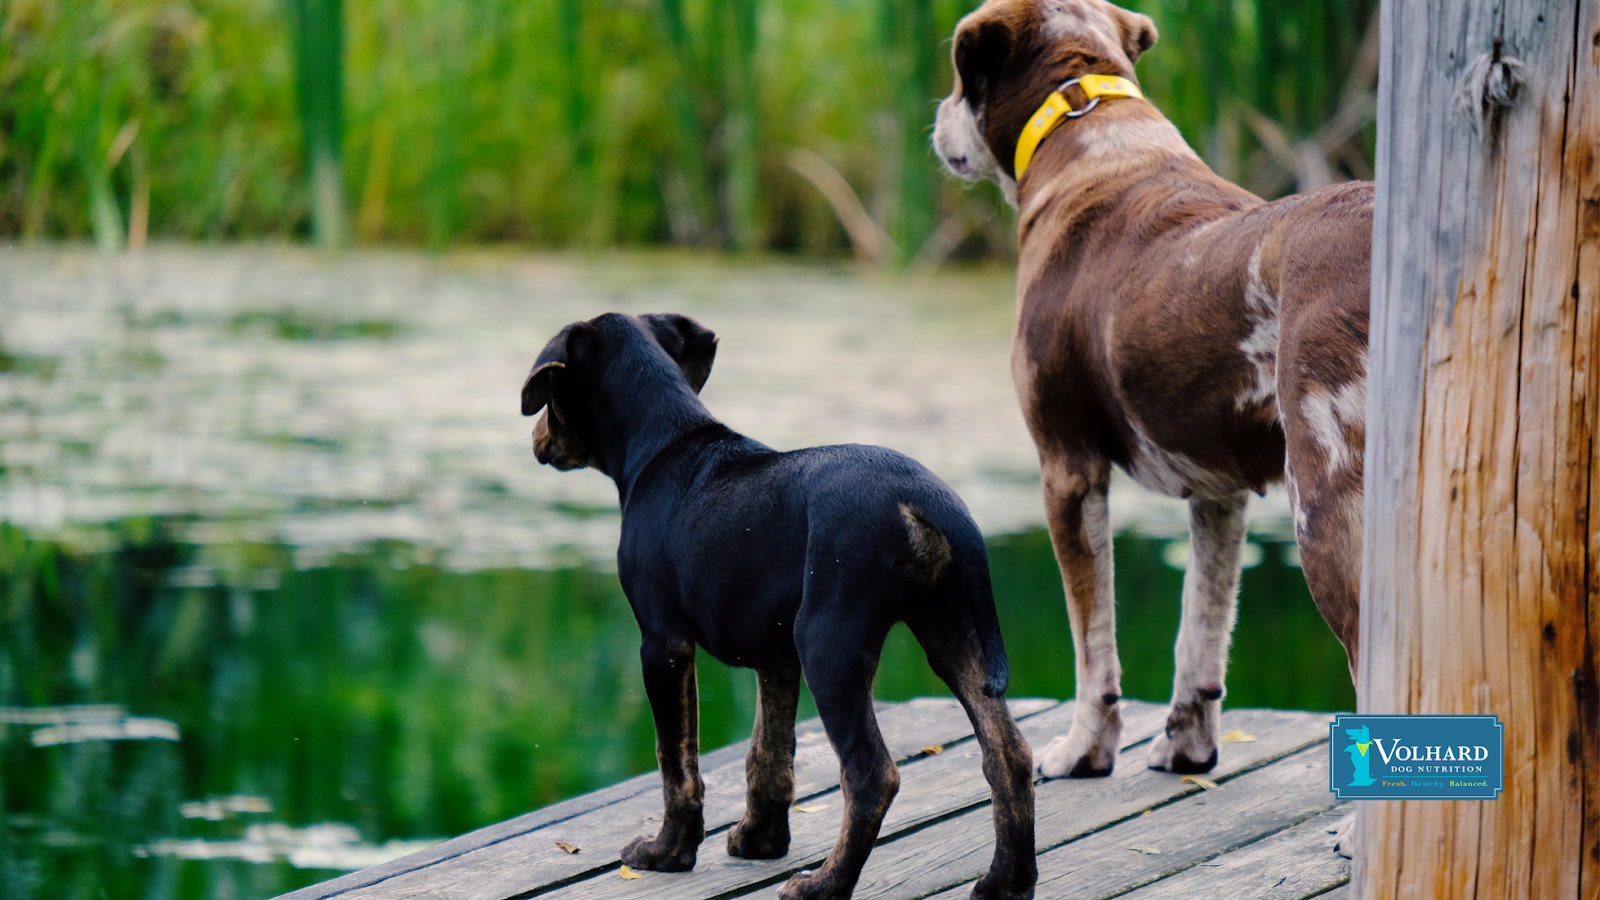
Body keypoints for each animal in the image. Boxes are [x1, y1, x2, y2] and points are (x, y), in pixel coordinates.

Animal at [521, 313, 1036, 896]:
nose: (534, 437)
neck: (664, 441)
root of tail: (925, 499)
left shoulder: (662, 643)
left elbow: (675, 760)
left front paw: (667, 852)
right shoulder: (776, 655)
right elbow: (767, 752)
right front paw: (760, 841)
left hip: (829, 645)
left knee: (871, 775)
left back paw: (825, 884)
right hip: (950, 632)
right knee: (1008, 753)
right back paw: (1007, 880)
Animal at [934, 0, 1369, 839]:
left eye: (959, 73)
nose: (936, 119)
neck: (1088, 127)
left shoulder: (1066, 471)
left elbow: (1092, 646)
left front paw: (1082, 753)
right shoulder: (1220, 495)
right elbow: (1198, 637)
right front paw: (1186, 750)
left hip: (1326, 507)